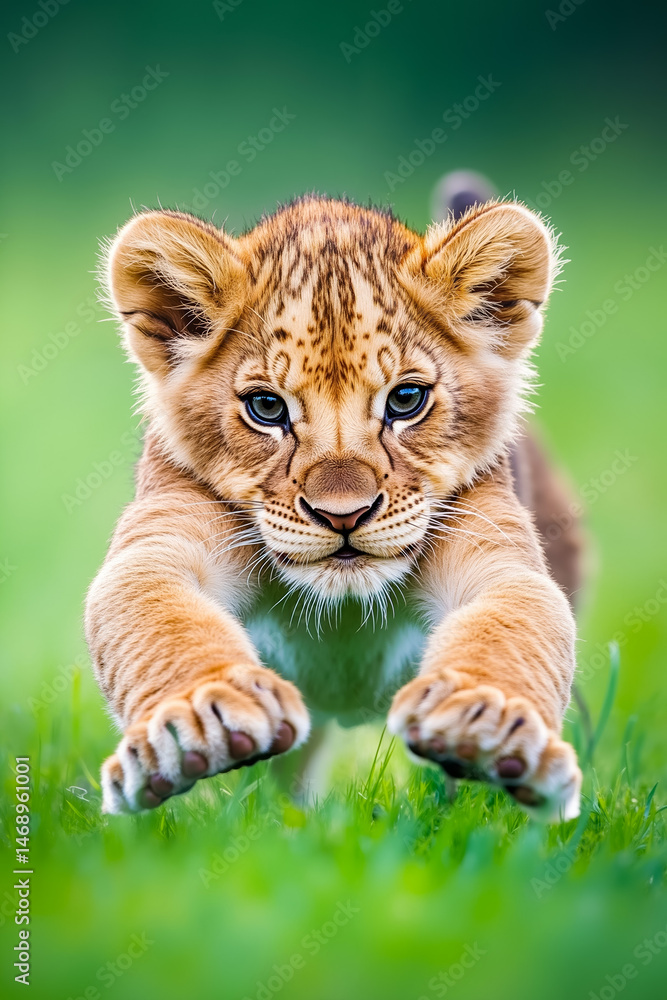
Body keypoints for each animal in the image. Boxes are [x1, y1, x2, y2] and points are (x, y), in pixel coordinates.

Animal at [86, 189, 583, 820]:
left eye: (406, 399)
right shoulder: (165, 535)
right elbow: (159, 615)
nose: (343, 515)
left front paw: (484, 721)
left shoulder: (494, 550)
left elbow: (511, 622)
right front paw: (202, 719)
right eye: (266, 408)